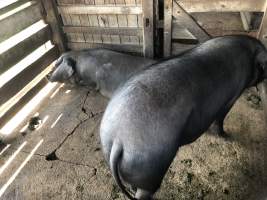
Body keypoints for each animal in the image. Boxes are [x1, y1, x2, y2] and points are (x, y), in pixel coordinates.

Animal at [100, 35, 267, 199]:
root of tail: (118, 139)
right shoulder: (232, 96)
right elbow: (220, 119)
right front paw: (225, 135)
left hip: (116, 154)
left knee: (132, 186)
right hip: (150, 165)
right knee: (144, 192)